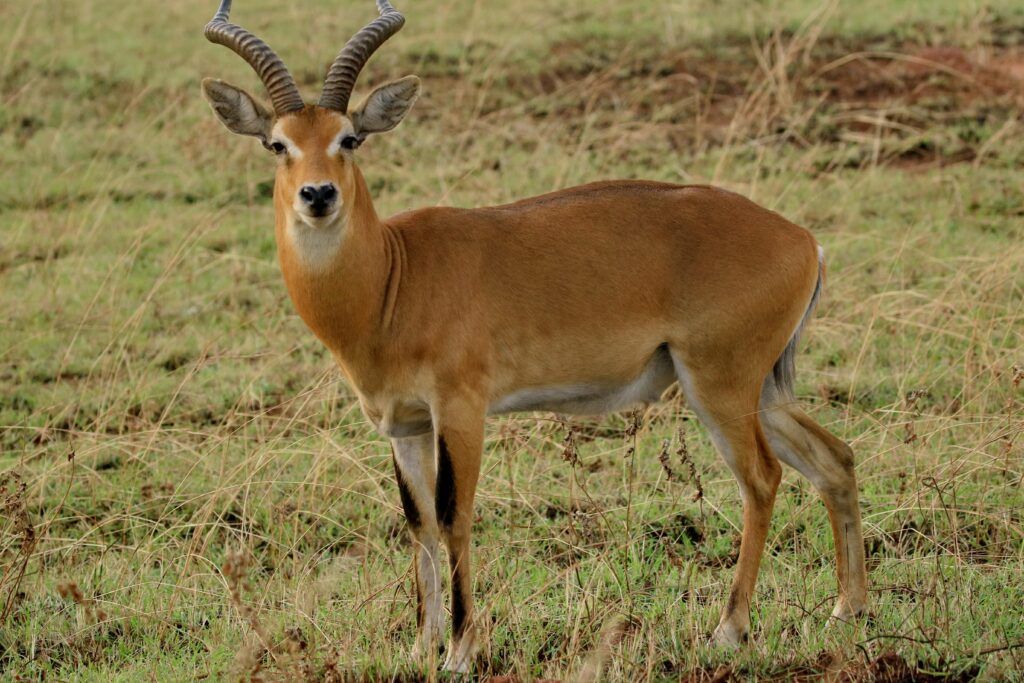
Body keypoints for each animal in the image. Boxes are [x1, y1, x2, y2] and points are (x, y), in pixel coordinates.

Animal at [201, 0, 872, 671]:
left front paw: (461, 651)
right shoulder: (405, 425)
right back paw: (846, 612)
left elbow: (454, 514)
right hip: (761, 391)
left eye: (349, 138)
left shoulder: (461, 408)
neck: (393, 275)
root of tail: (802, 241)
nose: (318, 195)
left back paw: (729, 630)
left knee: (762, 479)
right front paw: (421, 645)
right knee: (834, 458)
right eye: (278, 143)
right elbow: (417, 522)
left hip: (719, 386)